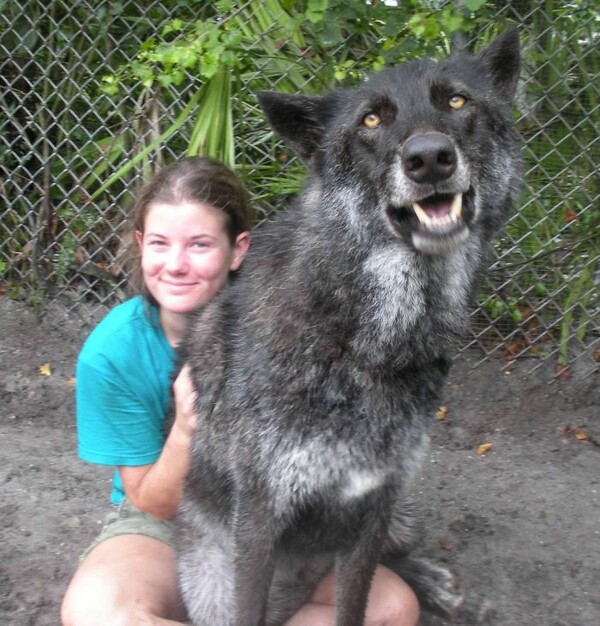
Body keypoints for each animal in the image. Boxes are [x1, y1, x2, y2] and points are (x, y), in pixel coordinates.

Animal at [176, 28, 524, 624]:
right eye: (371, 120)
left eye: (457, 102)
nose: (429, 158)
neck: (363, 340)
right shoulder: (260, 517)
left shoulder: (374, 508)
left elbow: (356, 601)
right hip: (209, 581)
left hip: (399, 516)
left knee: (397, 556)